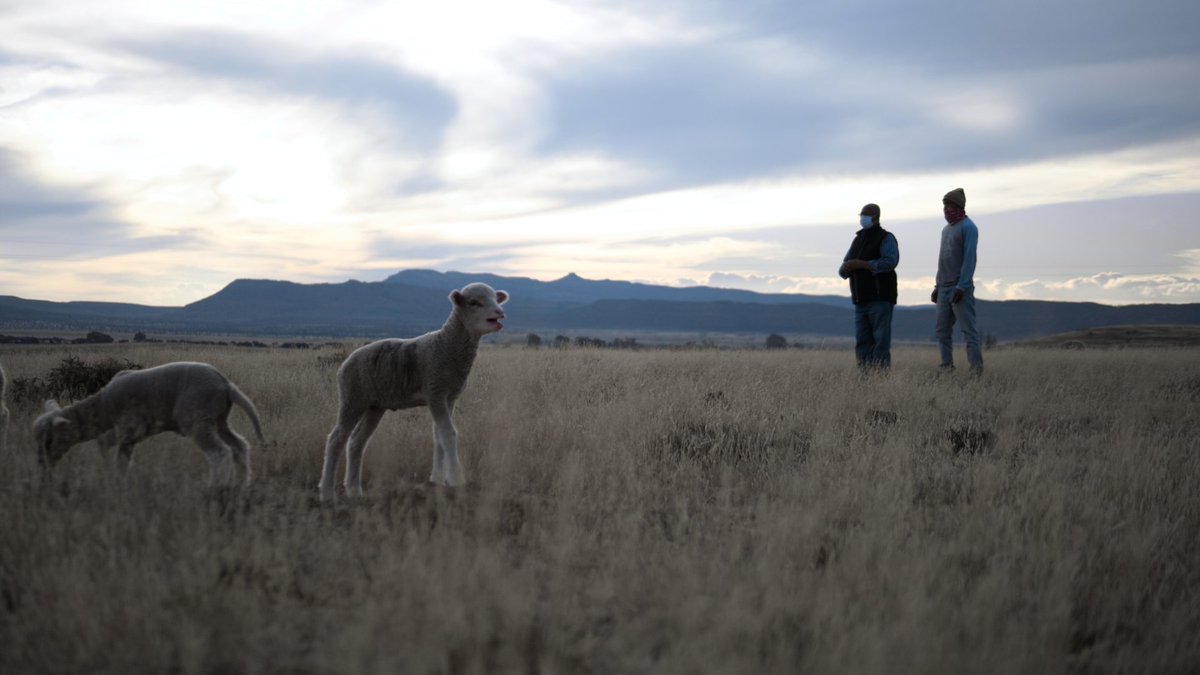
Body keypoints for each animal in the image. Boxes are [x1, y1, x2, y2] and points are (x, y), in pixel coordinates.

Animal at [33, 357, 265, 482]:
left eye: (49, 441)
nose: (42, 467)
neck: (104, 406)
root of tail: (226, 385)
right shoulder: (120, 430)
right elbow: (103, 444)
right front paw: (108, 475)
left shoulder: (130, 429)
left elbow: (121, 459)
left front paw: (118, 481)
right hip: (218, 419)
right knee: (240, 447)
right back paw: (240, 484)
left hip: (198, 419)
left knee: (219, 452)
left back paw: (216, 487)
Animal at [316, 279, 508, 499]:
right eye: (475, 302)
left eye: (495, 298)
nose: (500, 312)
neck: (447, 346)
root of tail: (344, 363)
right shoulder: (435, 391)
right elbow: (448, 433)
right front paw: (456, 479)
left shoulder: (449, 397)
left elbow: (438, 436)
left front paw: (437, 480)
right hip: (352, 396)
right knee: (336, 439)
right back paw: (327, 493)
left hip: (374, 405)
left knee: (357, 442)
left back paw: (355, 491)